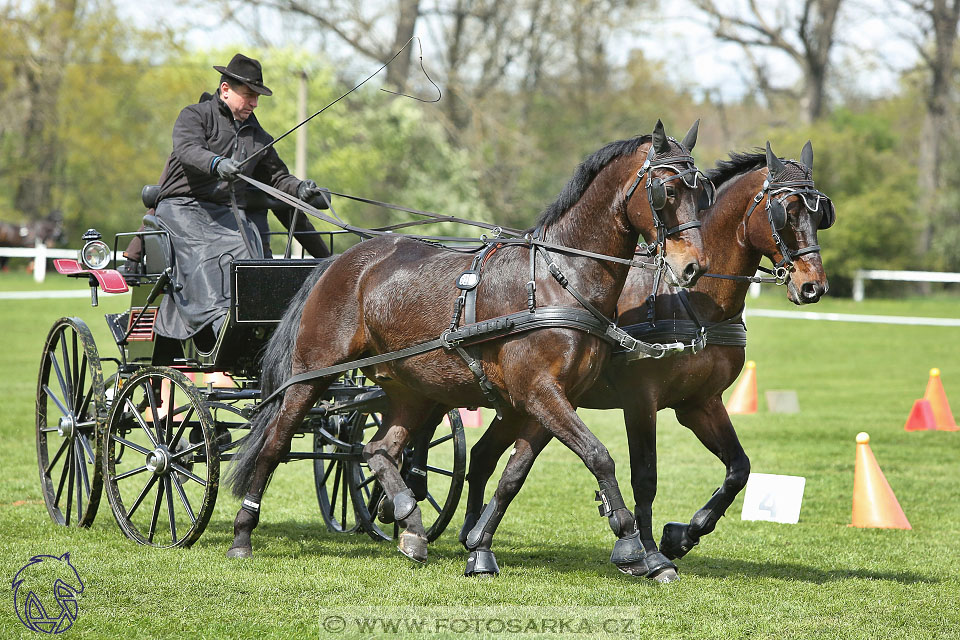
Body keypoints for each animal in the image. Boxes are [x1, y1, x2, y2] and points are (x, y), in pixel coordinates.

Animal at [227, 120, 712, 576]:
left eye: (702, 193)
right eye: (667, 190)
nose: (693, 267)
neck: (559, 278)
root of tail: (341, 260)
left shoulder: (549, 401)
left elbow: (513, 474)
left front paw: (480, 549)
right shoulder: (540, 392)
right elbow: (599, 455)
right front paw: (632, 546)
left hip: (411, 389)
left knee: (379, 449)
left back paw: (410, 524)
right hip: (311, 374)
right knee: (275, 444)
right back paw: (242, 534)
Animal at [464, 142, 832, 584]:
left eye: (821, 214)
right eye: (787, 211)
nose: (813, 286)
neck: (691, 300)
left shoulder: (700, 403)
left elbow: (739, 468)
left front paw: (683, 535)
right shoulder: (641, 400)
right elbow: (645, 477)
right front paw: (651, 554)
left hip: (522, 404)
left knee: (482, 457)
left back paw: (471, 537)